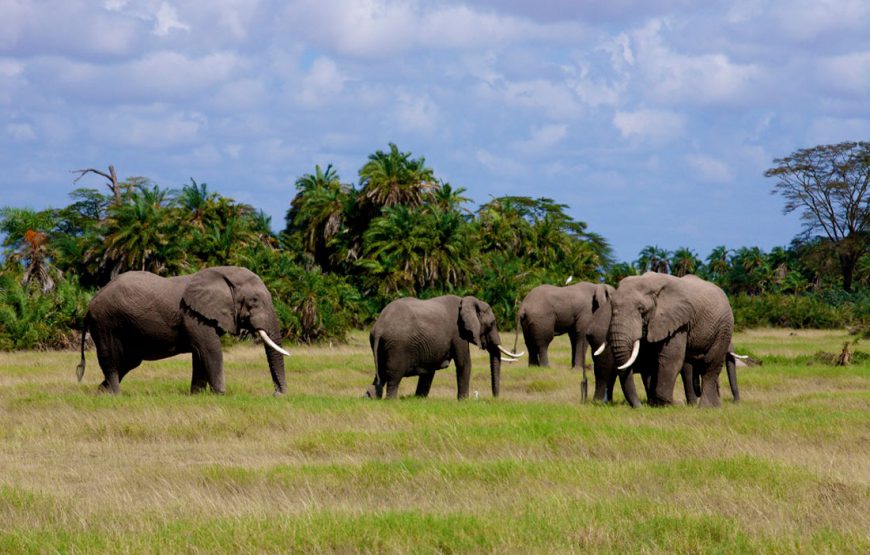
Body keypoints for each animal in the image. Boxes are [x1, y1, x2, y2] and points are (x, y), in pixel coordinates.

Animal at [366, 296, 524, 400]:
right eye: (492, 324)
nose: (495, 399)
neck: (467, 301)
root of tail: (379, 327)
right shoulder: (458, 333)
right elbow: (464, 363)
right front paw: (464, 401)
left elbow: (429, 370)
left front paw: (419, 399)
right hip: (398, 347)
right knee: (394, 375)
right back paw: (391, 400)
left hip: (383, 346)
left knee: (380, 373)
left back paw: (370, 396)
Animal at [608, 274, 744, 408]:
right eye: (612, 307)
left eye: (641, 309)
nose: (640, 406)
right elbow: (648, 360)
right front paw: (658, 404)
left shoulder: (678, 323)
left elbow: (671, 359)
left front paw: (671, 404)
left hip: (724, 327)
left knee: (711, 362)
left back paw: (707, 407)